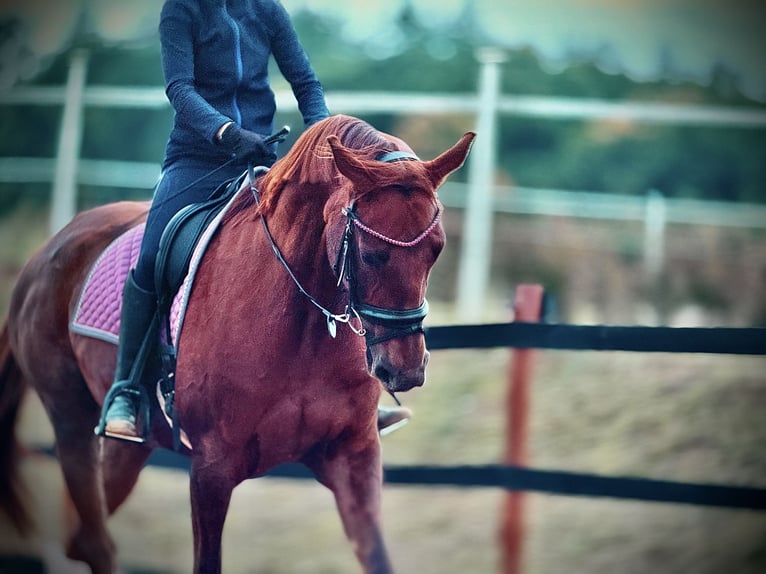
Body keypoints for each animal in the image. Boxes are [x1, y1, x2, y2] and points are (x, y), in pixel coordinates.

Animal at [0, 114, 475, 574]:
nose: (405, 370)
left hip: (128, 449)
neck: (302, 329)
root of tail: (45, 253)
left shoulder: (353, 456)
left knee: (83, 538)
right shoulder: (212, 468)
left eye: (436, 249)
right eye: (372, 254)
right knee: (94, 540)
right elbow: (207, 561)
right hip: (72, 423)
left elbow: (376, 555)